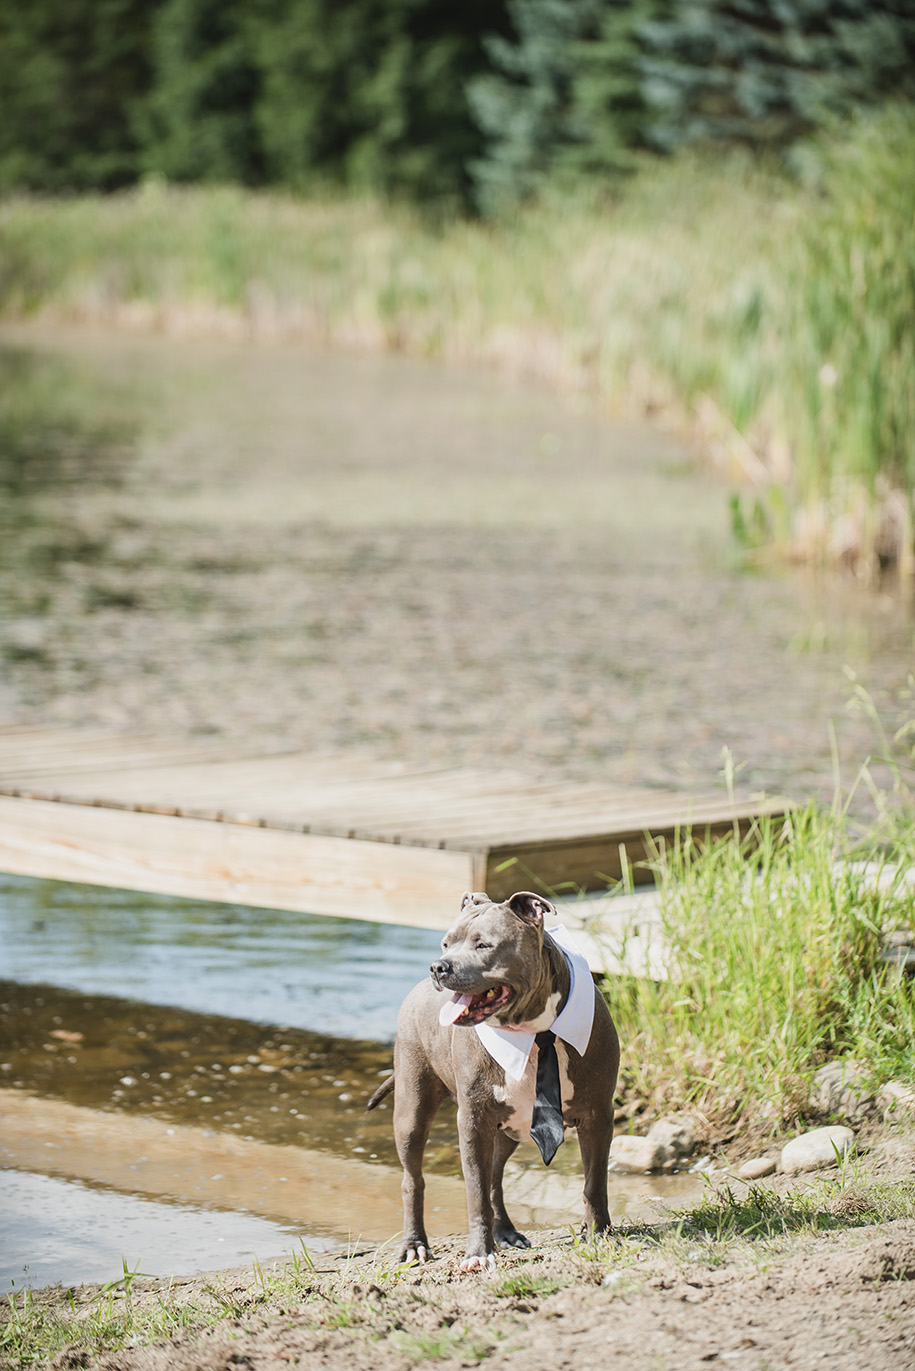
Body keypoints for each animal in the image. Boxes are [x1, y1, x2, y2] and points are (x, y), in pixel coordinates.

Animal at [367, 888, 622, 1272]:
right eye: (446, 943)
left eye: (484, 945)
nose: (438, 966)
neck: (536, 1031)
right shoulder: (472, 1122)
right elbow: (474, 1191)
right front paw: (478, 1251)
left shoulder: (598, 1115)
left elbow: (596, 1182)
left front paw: (599, 1232)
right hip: (412, 1113)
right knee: (414, 1180)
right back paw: (414, 1244)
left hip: (510, 1129)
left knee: (496, 1179)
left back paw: (506, 1232)